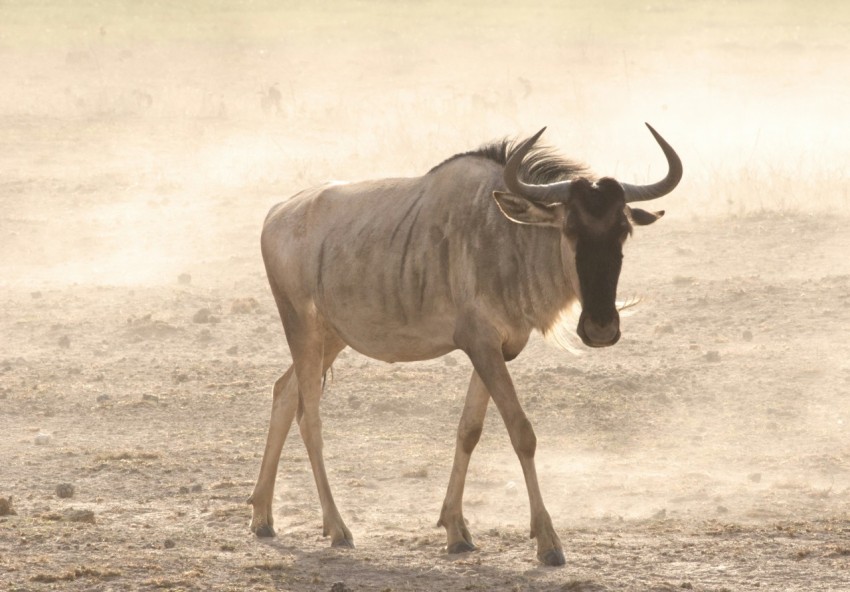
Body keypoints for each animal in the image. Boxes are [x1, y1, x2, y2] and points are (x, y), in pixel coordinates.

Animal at [248, 124, 682, 566]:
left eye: (623, 232)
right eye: (570, 229)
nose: (600, 329)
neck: (506, 236)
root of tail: (276, 213)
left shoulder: (495, 348)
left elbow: (469, 430)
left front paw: (456, 530)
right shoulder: (481, 344)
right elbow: (522, 432)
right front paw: (548, 541)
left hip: (331, 336)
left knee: (284, 392)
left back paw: (262, 516)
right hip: (302, 327)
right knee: (310, 418)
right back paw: (337, 528)